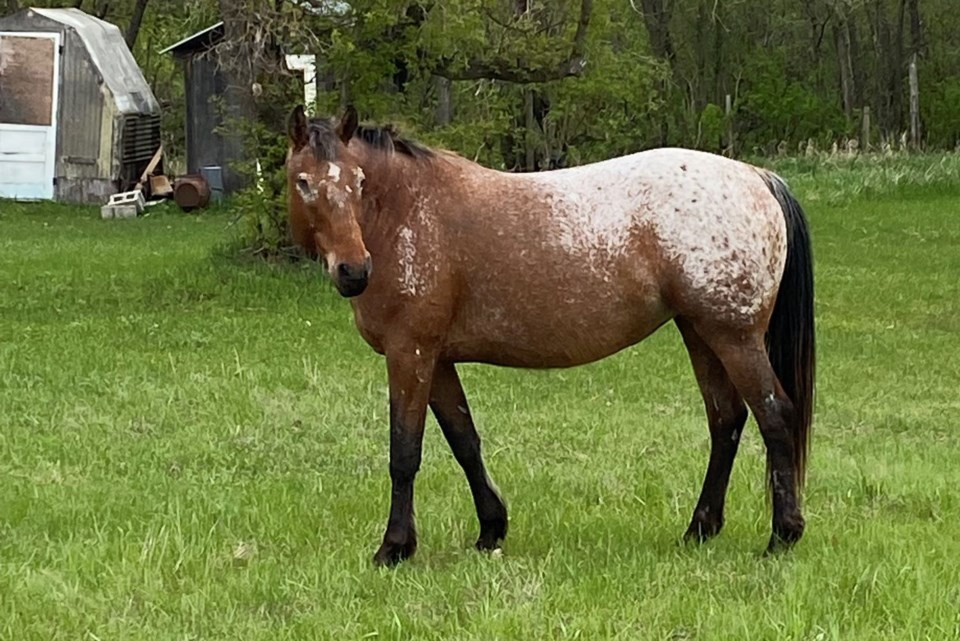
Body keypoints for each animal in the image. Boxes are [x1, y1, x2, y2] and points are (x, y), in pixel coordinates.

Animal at [286, 104, 816, 564]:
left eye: (357, 181)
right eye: (304, 181)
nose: (353, 271)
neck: (406, 213)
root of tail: (757, 177)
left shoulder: (409, 353)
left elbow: (404, 452)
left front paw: (394, 547)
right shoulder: (437, 360)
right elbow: (464, 441)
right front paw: (491, 529)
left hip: (734, 338)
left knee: (774, 416)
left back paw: (782, 536)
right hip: (701, 334)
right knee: (726, 420)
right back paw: (700, 528)